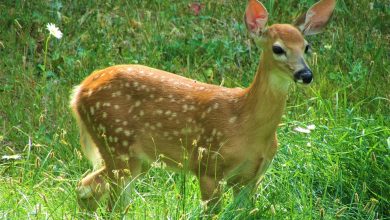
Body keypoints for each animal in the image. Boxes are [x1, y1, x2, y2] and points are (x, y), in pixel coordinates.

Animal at [70, 0, 336, 213]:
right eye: (278, 48)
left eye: (306, 46)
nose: (305, 74)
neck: (245, 123)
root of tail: (79, 91)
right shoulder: (208, 165)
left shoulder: (251, 178)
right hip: (117, 143)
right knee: (105, 201)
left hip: (136, 157)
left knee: (88, 188)